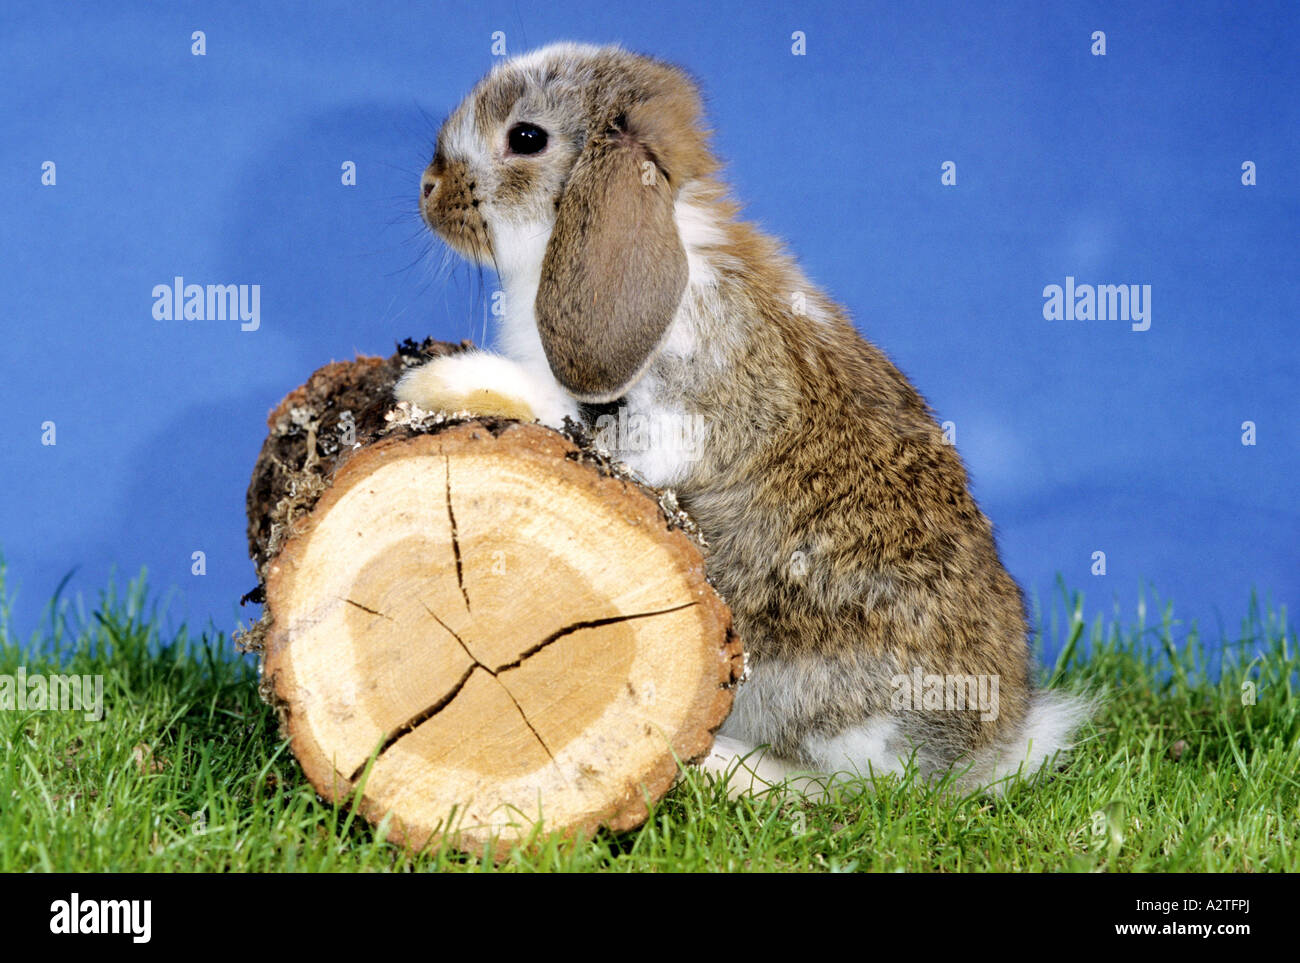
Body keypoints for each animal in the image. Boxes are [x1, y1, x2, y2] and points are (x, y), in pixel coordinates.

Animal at [397, 41, 1097, 795]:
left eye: (526, 137)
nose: (427, 189)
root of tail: (981, 751)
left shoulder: (666, 423)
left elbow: (553, 404)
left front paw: (437, 381)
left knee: (842, 785)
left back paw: (722, 767)